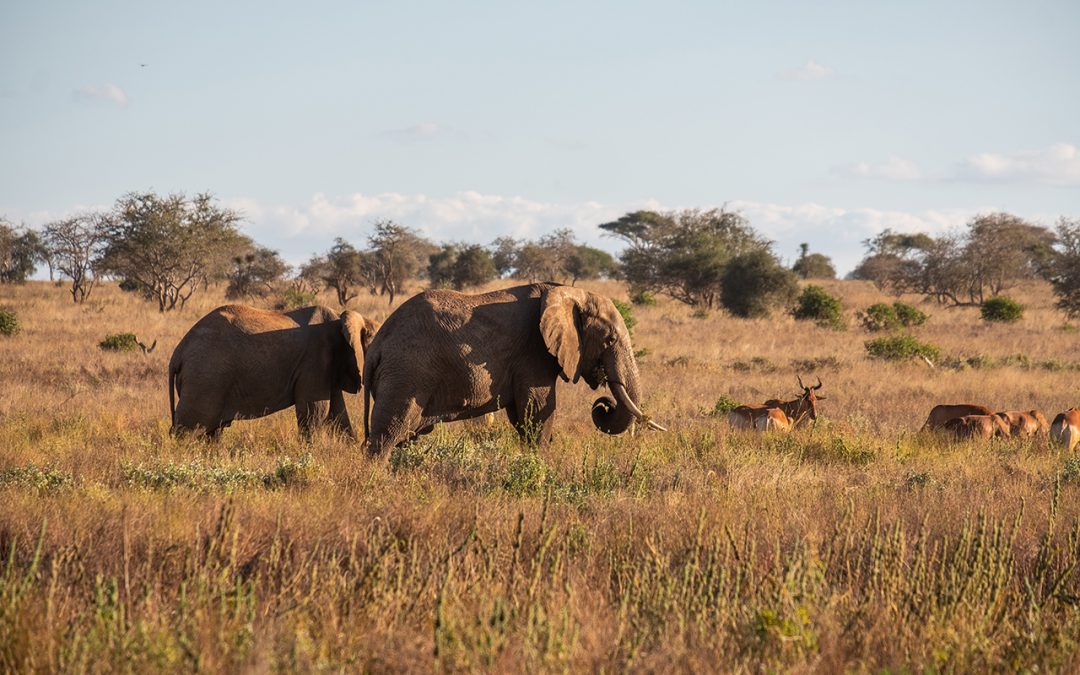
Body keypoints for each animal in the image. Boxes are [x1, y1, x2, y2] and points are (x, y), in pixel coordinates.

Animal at [168, 304, 380, 440]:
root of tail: (179, 352)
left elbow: (338, 415)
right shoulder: (316, 360)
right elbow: (314, 413)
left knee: (212, 432)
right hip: (204, 378)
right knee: (188, 429)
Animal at [362, 280, 665, 455]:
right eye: (610, 339)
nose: (603, 405)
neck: (569, 293)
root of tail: (377, 345)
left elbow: (523, 418)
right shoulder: (533, 352)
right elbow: (537, 413)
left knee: (405, 436)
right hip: (406, 374)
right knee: (387, 435)